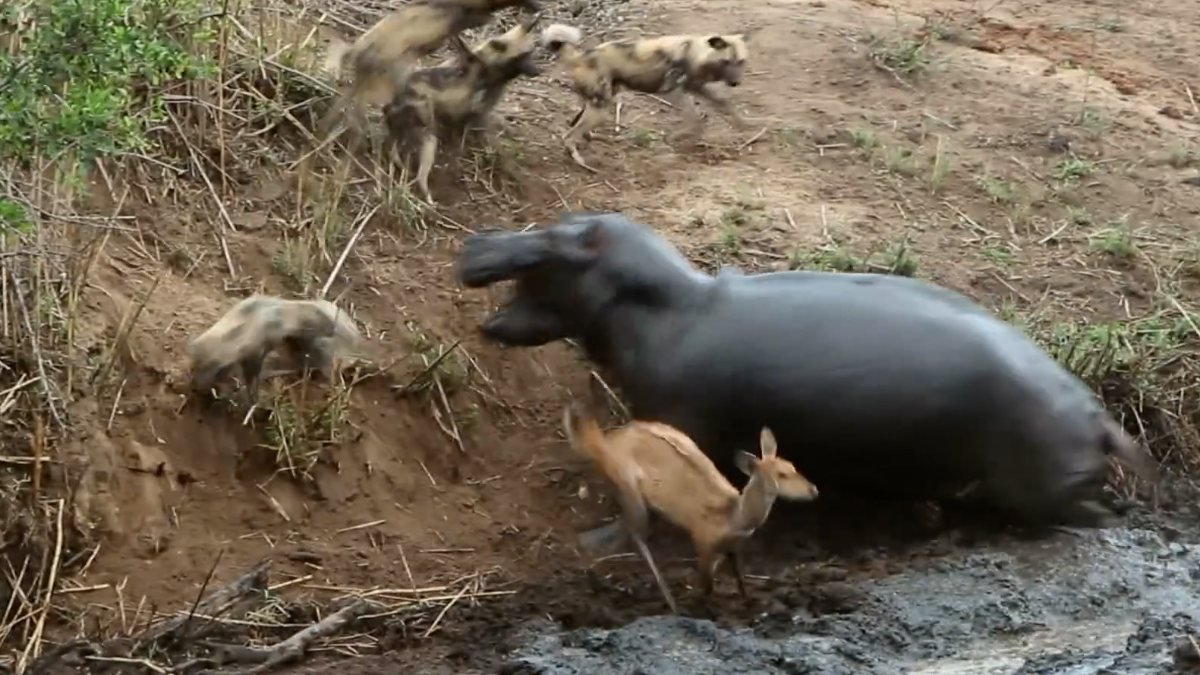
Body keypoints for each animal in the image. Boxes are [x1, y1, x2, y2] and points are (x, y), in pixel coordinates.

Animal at [542, 23, 753, 170]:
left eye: (741, 62)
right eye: (726, 62)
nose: (735, 82)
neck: (696, 54)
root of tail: (582, 56)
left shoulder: (695, 87)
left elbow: (723, 104)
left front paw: (745, 125)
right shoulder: (675, 92)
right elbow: (695, 118)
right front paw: (678, 138)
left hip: (599, 103)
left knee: (576, 125)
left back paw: (594, 139)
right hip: (601, 110)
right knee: (568, 135)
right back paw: (580, 160)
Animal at [561, 401, 816, 612]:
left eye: (793, 466)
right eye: (782, 475)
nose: (814, 490)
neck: (733, 517)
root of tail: (603, 441)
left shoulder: (734, 546)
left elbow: (739, 575)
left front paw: (749, 604)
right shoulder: (701, 539)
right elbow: (707, 585)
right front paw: (704, 610)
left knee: (624, 527)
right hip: (627, 485)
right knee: (637, 533)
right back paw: (670, 602)